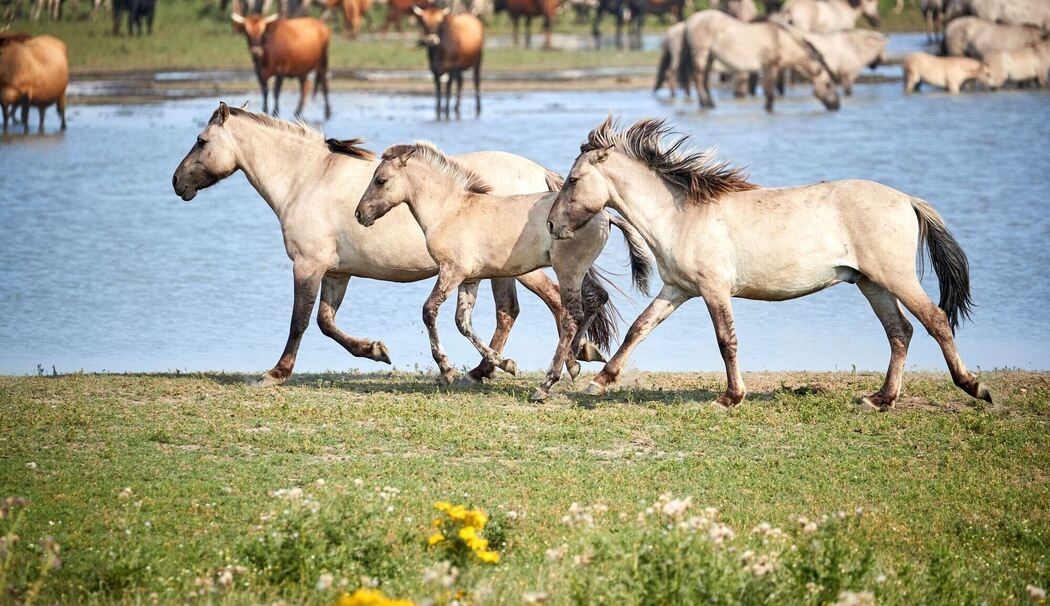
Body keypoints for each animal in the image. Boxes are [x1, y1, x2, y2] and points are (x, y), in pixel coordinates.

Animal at [171, 103, 606, 387]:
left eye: (201, 140)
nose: (177, 182)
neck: (306, 178)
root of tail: (540, 174)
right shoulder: (337, 273)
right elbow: (326, 323)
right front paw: (376, 350)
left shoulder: (307, 265)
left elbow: (300, 321)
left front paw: (276, 372)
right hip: (499, 271)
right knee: (510, 313)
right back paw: (495, 368)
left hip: (521, 269)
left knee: (549, 303)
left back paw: (562, 362)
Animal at [355, 141, 652, 398]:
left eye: (380, 180)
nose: (359, 214)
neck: (450, 211)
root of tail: (606, 214)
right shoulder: (470, 279)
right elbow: (463, 323)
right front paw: (504, 364)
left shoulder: (451, 272)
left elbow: (429, 311)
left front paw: (448, 369)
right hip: (577, 272)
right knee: (594, 299)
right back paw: (575, 361)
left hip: (566, 271)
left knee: (572, 315)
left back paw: (548, 383)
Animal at [547, 117, 994, 411]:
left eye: (572, 180)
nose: (551, 225)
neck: (680, 215)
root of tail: (907, 200)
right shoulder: (677, 289)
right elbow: (638, 329)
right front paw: (599, 382)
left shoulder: (713, 290)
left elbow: (726, 341)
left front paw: (731, 397)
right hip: (872, 283)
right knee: (900, 332)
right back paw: (880, 399)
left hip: (895, 278)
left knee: (935, 320)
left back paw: (974, 388)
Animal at [679, 11, 840, 112]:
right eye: (828, 84)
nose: (836, 105)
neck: (780, 40)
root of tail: (690, 21)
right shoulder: (770, 66)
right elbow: (769, 92)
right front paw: (768, 110)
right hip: (701, 54)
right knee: (698, 78)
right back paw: (706, 104)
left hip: (710, 57)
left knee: (704, 79)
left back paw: (710, 104)